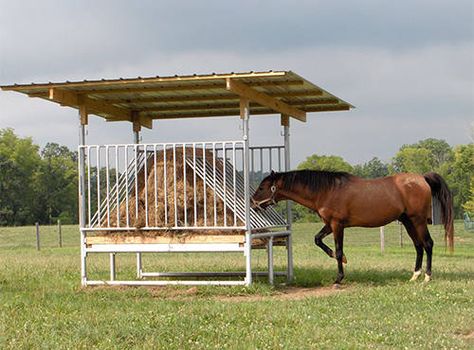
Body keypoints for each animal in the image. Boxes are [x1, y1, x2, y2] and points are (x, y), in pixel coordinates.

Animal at [250, 171, 454, 286]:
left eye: (262, 187)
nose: (252, 203)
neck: (327, 190)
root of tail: (422, 178)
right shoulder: (329, 224)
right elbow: (318, 240)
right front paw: (341, 259)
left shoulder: (337, 225)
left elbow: (339, 250)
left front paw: (339, 278)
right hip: (407, 221)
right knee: (418, 246)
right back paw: (415, 276)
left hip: (417, 220)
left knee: (428, 244)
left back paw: (427, 277)